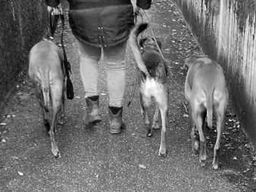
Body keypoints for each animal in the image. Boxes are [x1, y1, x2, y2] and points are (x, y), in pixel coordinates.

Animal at [129, 23, 169, 157]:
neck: (151, 47)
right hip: (164, 102)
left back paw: (148, 129)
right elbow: (156, 113)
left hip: (145, 98)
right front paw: (156, 123)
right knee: (164, 129)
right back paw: (162, 149)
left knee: (146, 117)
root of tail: (150, 73)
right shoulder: (158, 101)